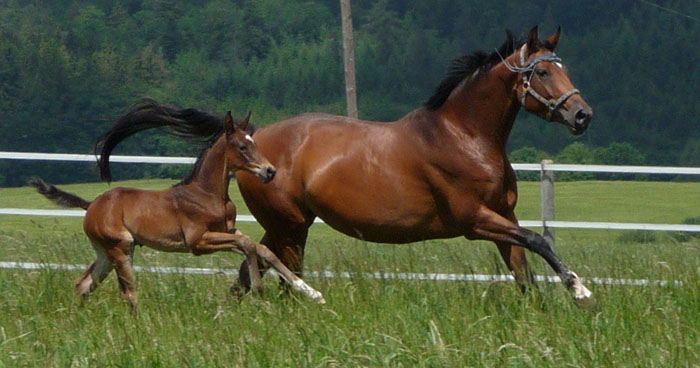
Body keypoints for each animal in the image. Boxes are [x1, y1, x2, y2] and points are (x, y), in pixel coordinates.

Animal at [31, 101, 326, 310]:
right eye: (242, 147)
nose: (269, 171)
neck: (208, 194)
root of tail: (91, 205)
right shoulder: (198, 242)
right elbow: (248, 245)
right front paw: (258, 288)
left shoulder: (228, 231)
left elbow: (262, 248)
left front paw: (311, 292)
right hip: (121, 248)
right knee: (128, 292)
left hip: (106, 252)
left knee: (83, 284)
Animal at [237, 26, 596, 302]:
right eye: (543, 71)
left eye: (565, 69)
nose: (583, 115)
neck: (464, 137)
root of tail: (252, 139)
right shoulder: (474, 220)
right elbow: (537, 240)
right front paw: (579, 289)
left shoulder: (504, 216)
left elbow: (525, 277)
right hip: (290, 227)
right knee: (283, 278)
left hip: (286, 226)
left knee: (250, 272)